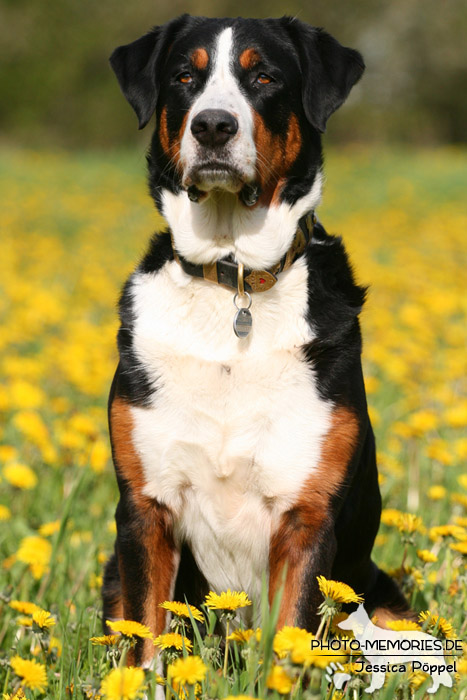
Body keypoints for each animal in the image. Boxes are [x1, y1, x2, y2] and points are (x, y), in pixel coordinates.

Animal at [102, 13, 410, 664]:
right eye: (184, 76)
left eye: (264, 76)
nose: (213, 125)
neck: (233, 277)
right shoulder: (145, 509)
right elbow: (145, 645)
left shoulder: (306, 516)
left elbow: (290, 647)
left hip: (379, 598)